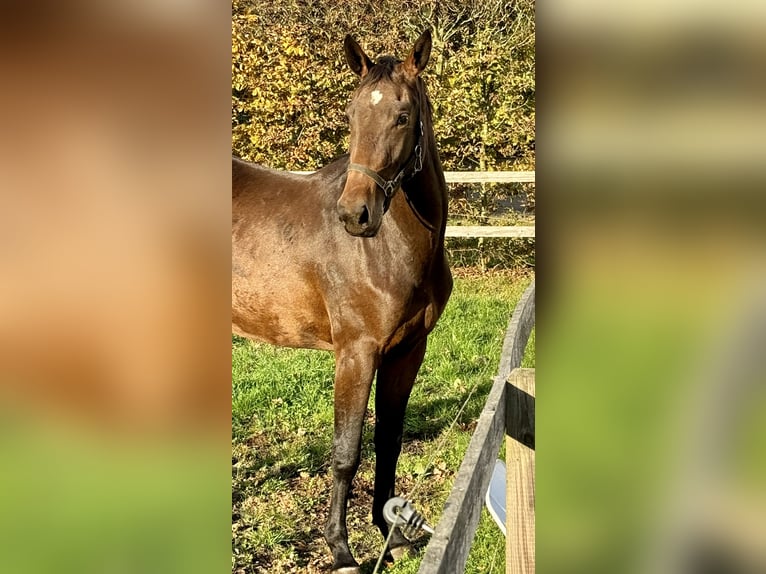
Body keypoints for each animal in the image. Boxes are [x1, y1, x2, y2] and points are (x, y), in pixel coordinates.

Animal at [231, 31, 452, 574]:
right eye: (351, 115)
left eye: (402, 116)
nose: (356, 215)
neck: (389, 249)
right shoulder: (356, 352)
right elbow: (346, 452)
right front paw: (341, 549)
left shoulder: (407, 351)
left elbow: (388, 440)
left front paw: (392, 535)